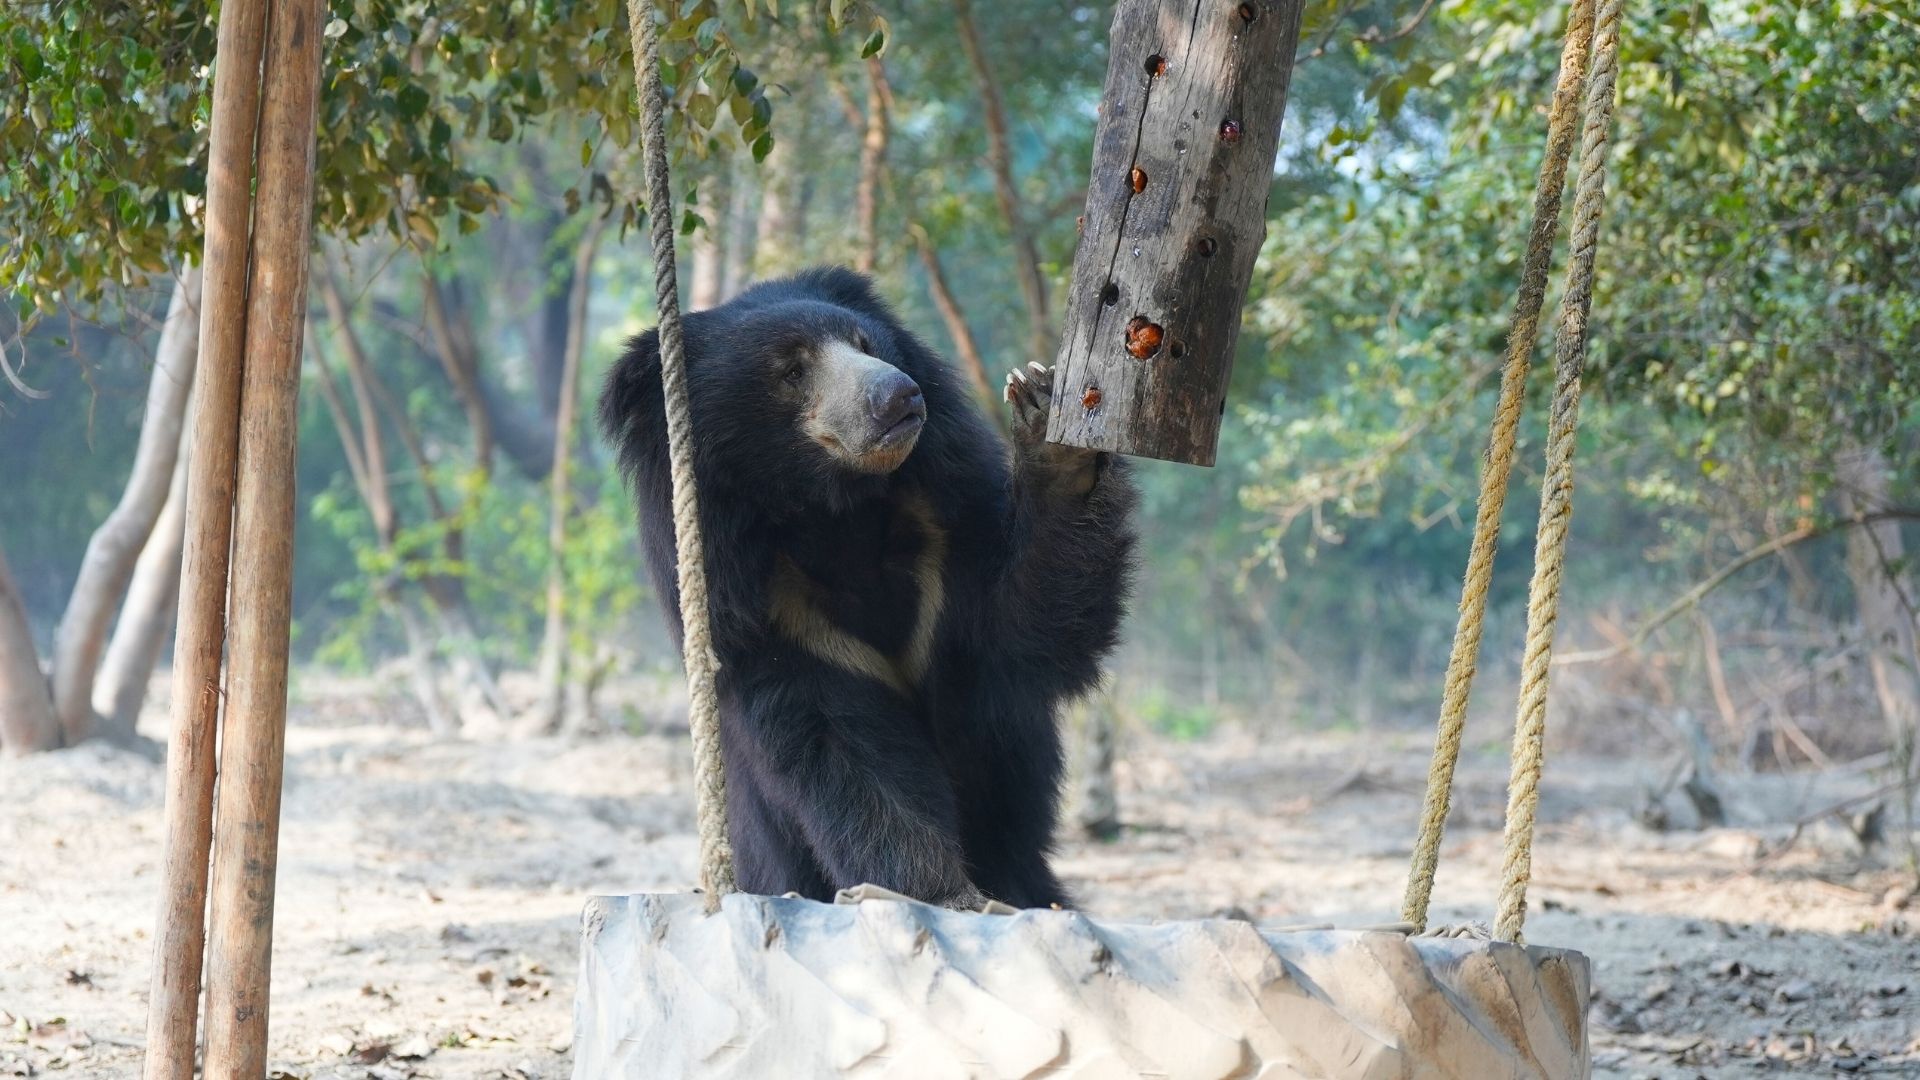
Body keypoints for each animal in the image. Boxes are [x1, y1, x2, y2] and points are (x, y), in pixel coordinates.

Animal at [599, 267, 1136, 909]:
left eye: (865, 343)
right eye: (791, 370)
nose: (899, 395)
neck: (835, 510)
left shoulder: (945, 548)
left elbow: (1021, 632)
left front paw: (1057, 440)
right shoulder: (768, 612)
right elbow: (843, 751)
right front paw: (942, 895)